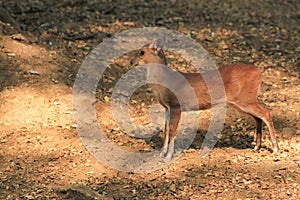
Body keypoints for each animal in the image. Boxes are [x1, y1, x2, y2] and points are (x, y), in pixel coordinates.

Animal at [130, 39, 280, 159]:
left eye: (142, 52)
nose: (131, 61)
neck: (164, 82)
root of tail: (258, 72)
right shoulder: (167, 107)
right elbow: (166, 129)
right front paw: (162, 153)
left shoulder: (176, 105)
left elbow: (172, 130)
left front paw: (168, 156)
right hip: (241, 101)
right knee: (258, 118)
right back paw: (256, 147)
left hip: (245, 99)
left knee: (266, 113)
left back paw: (275, 149)